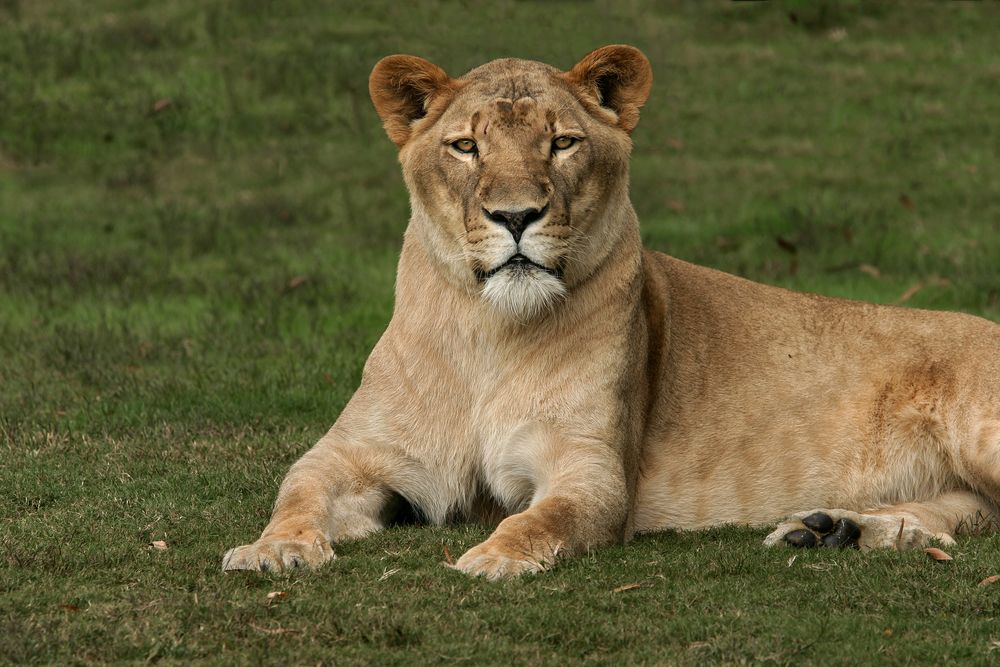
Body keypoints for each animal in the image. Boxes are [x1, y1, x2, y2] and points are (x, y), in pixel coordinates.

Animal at [223, 45, 1000, 579]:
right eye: (466, 146)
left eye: (562, 142)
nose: (516, 216)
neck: (488, 331)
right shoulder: (354, 451)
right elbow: (297, 487)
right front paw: (273, 549)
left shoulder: (590, 466)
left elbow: (546, 517)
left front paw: (495, 556)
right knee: (962, 517)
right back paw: (832, 530)